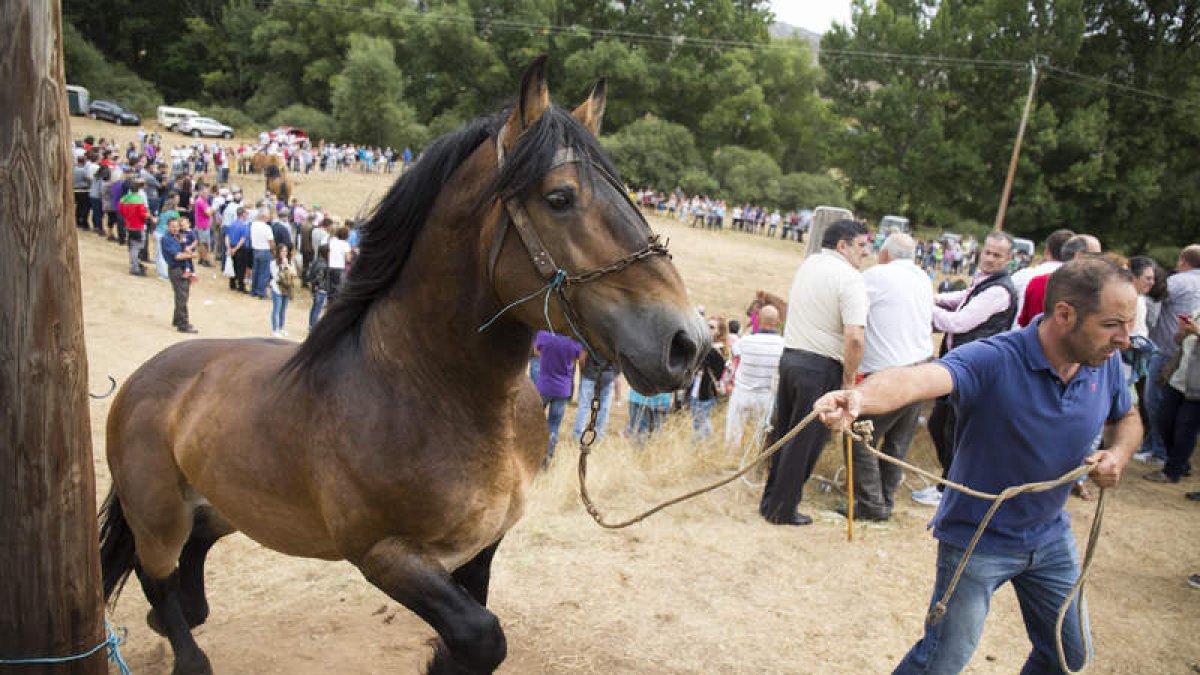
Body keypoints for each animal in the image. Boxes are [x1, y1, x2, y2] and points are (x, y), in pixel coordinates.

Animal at [100, 57, 710, 672]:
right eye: (560, 197)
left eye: (627, 193)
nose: (688, 342)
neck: (430, 389)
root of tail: (142, 379)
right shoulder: (385, 554)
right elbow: (482, 634)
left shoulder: (482, 547)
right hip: (157, 514)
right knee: (156, 575)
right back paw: (187, 652)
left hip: (223, 500)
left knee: (196, 547)